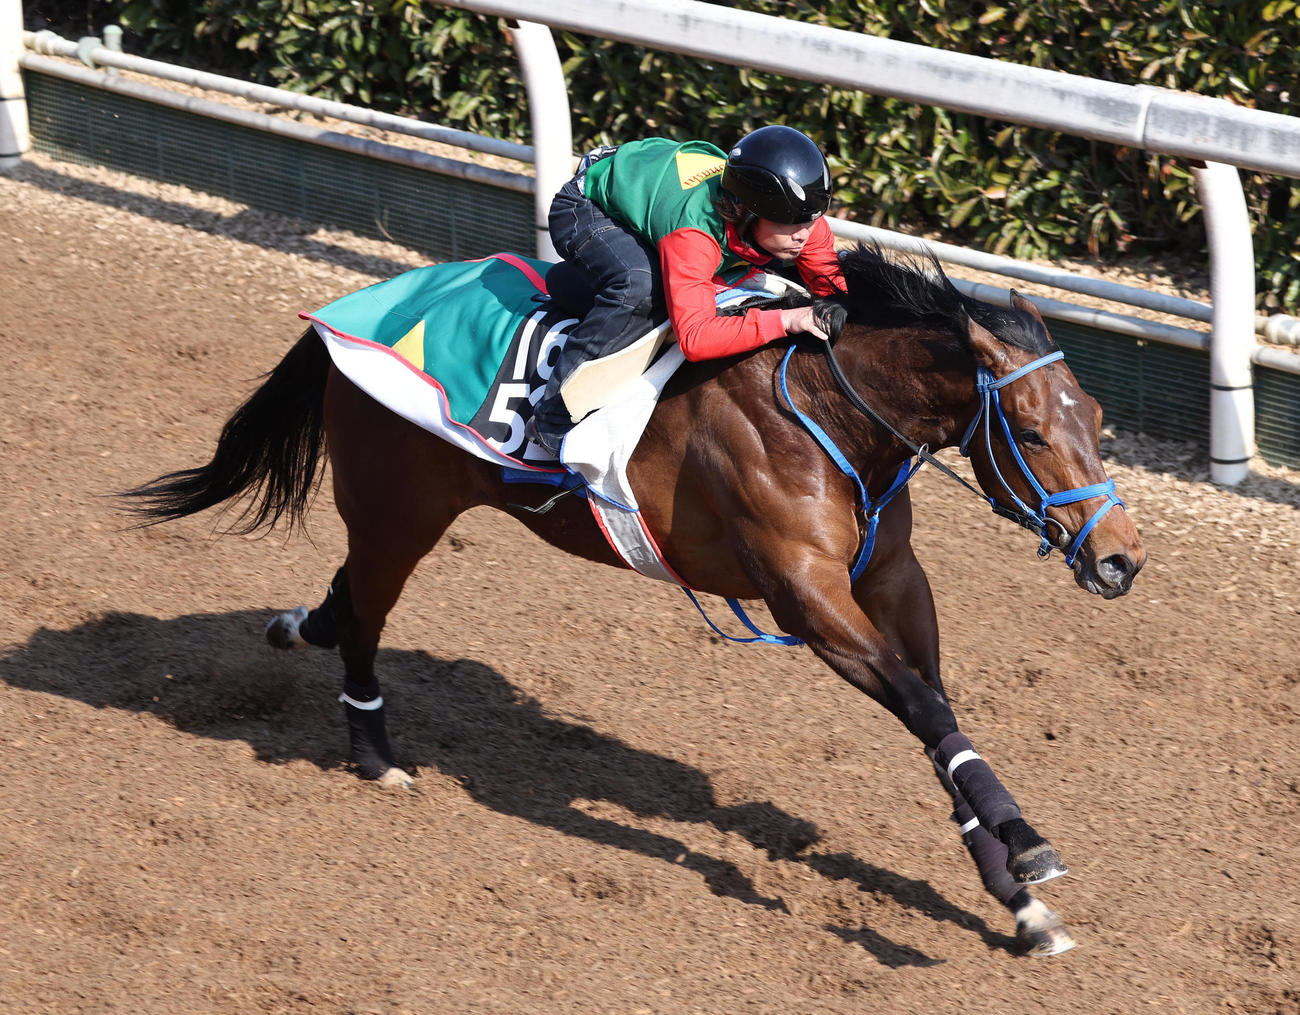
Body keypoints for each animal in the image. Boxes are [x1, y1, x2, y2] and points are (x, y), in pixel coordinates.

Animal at [124, 243, 1145, 957]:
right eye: (1029, 430)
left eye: (1097, 421)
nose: (1122, 561)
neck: (825, 403)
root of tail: (347, 311)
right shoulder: (805, 595)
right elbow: (926, 708)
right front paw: (1028, 846)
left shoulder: (890, 579)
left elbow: (936, 712)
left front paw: (1019, 896)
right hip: (398, 506)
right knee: (368, 616)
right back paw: (375, 756)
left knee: (345, 601)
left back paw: (297, 629)